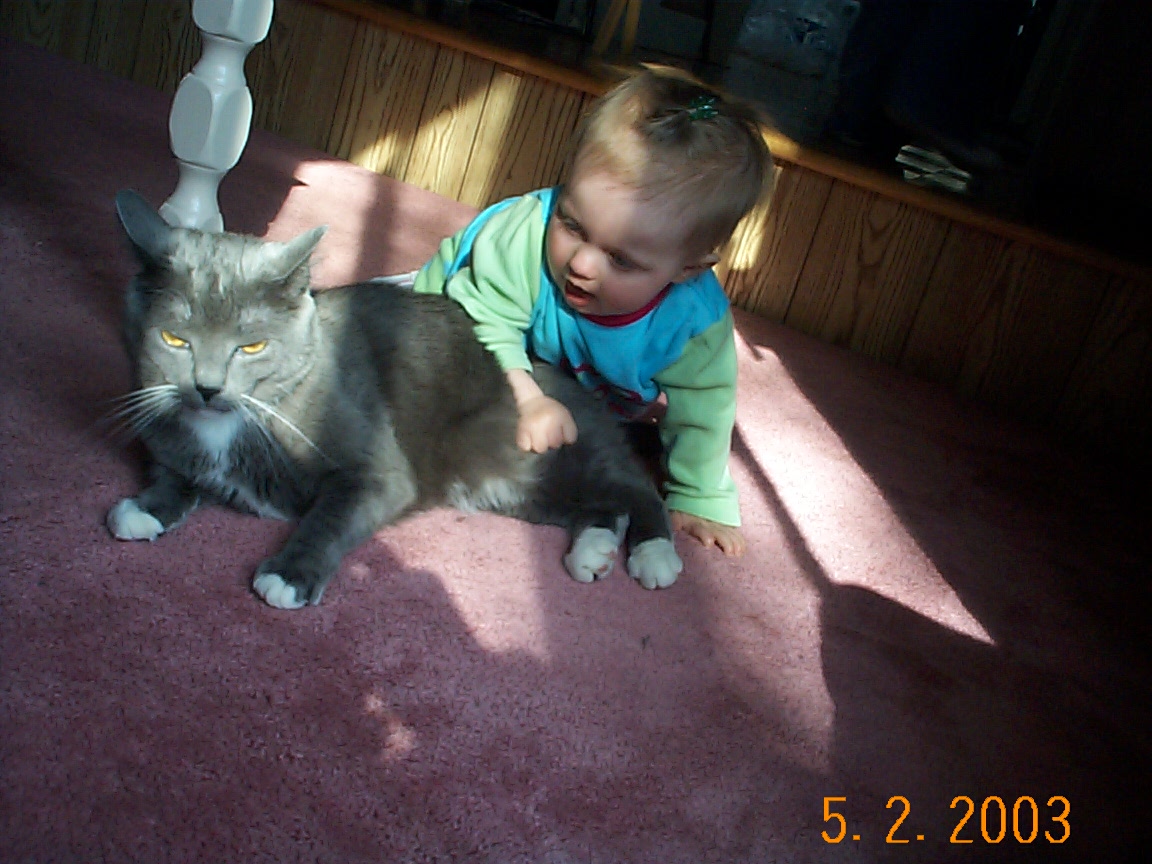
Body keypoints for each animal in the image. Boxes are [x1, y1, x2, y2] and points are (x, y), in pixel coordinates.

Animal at [105, 190, 683, 608]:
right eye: (174, 339)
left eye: (251, 346)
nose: (206, 387)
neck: (234, 424)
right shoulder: (172, 442)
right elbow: (172, 474)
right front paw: (143, 509)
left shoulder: (376, 472)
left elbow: (330, 516)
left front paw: (287, 577)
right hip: (509, 487)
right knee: (599, 505)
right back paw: (594, 551)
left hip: (542, 454)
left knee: (634, 489)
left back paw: (653, 556)